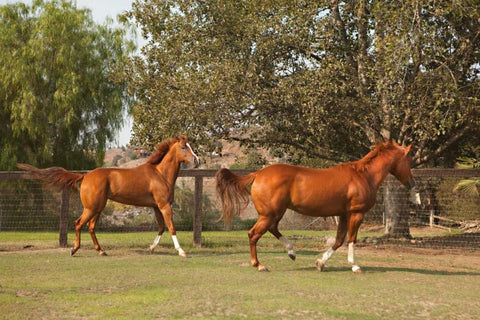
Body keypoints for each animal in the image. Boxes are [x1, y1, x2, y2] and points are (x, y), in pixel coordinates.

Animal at [18, 136, 199, 256]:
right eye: (184, 147)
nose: (197, 161)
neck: (160, 174)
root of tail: (85, 176)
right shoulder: (164, 205)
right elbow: (171, 226)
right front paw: (181, 251)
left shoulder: (156, 206)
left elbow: (161, 227)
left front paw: (151, 248)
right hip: (92, 207)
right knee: (79, 223)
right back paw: (74, 249)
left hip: (98, 208)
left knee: (90, 226)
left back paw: (101, 251)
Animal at [217, 141, 420, 272]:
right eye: (408, 160)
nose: (411, 183)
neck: (363, 176)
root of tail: (258, 174)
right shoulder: (356, 213)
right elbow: (352, 239)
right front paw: (354, 265)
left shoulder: (343, 214)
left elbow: (338, 241)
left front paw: (320, 263)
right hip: (269, 214)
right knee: (253, 234)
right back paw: (259, 265)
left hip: (274, 214)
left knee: (272, 229)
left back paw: (291, 252)